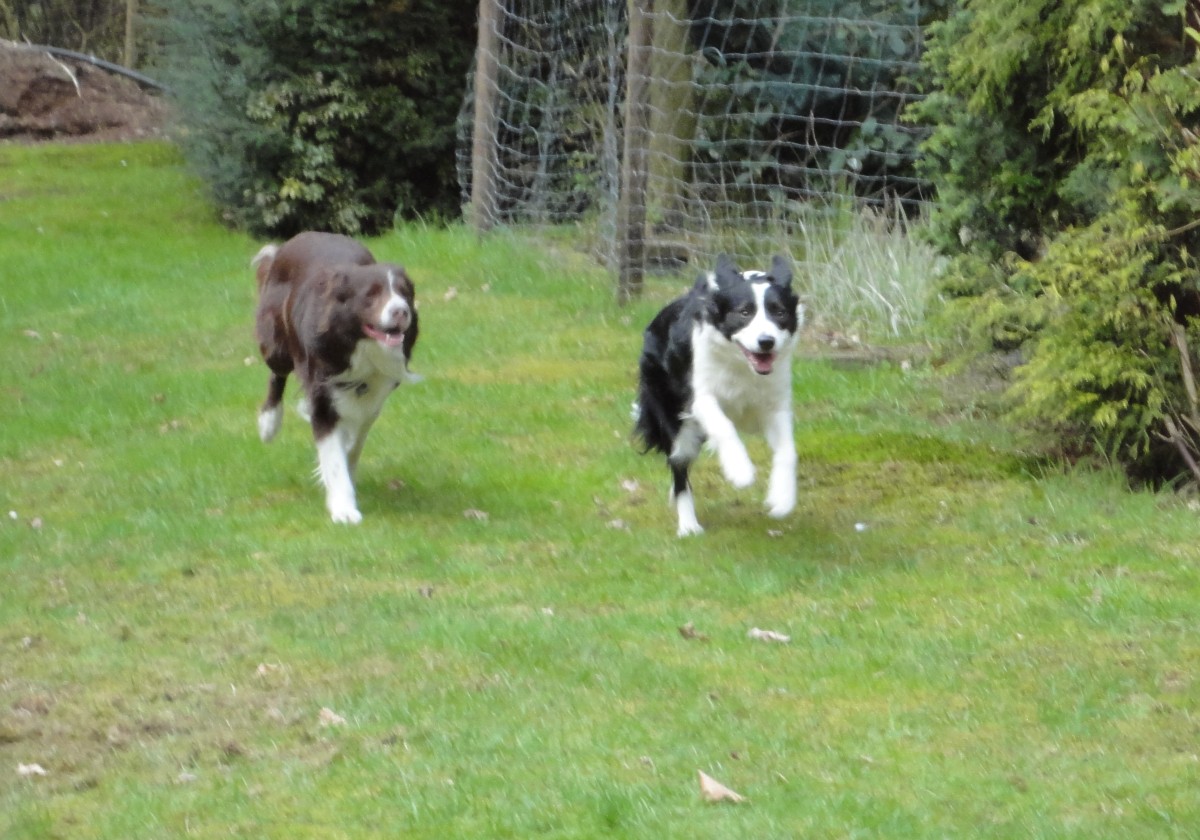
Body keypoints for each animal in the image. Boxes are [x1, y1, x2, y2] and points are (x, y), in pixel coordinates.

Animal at [253, 231, 420, 524]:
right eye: (371, 294)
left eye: (404, 293)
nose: (401, 311)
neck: (358, 345)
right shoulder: (322, 395)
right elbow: (333, 455)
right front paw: (344, 508)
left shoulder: (372, 397)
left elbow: (353, 443)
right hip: (275, 344)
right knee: (277, 374)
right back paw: (269, 423)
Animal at [634, 255, 803, 536]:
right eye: (744, 312)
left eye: (779, 312)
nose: (766, 342)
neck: (742, 365)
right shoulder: (700, 398)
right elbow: (723, 426)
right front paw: (740, 469)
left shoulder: (774, 405)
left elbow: (788, 450)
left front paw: (782, 498)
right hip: (675, 421)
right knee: (679, 468)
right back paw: (688, 525)